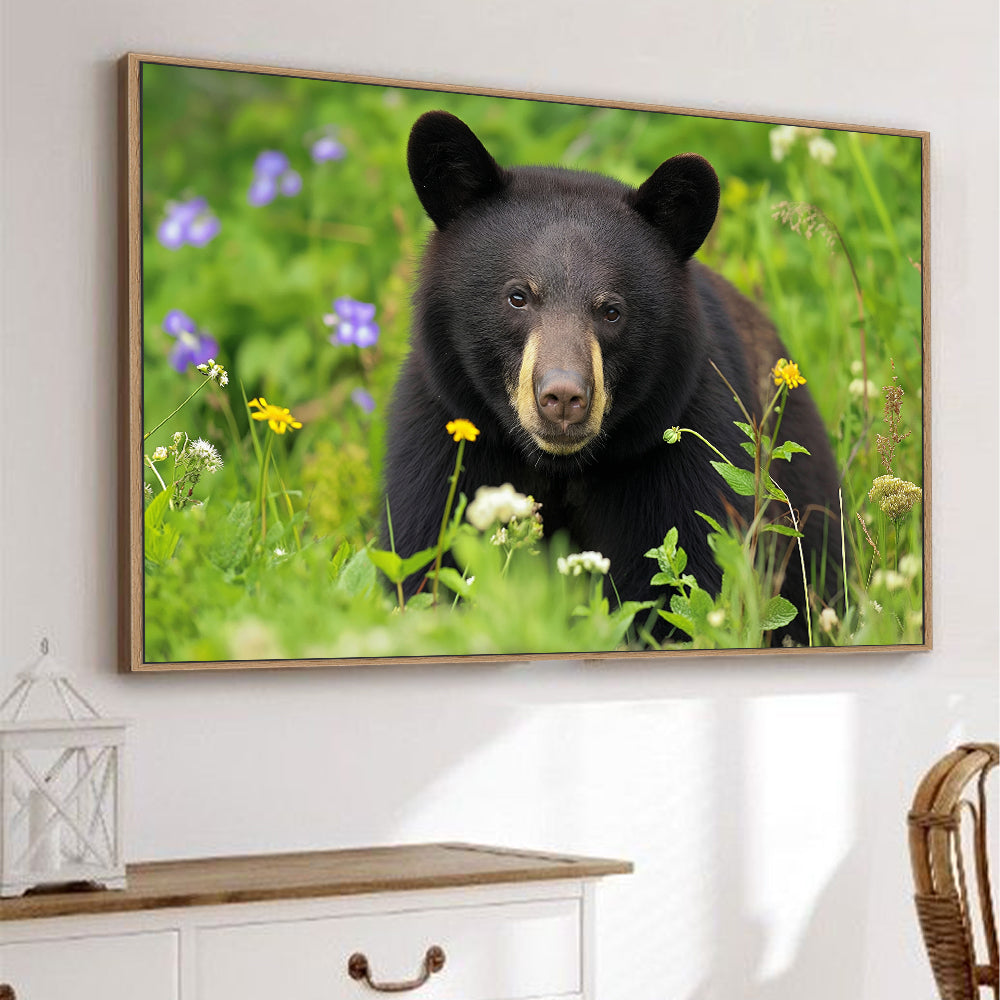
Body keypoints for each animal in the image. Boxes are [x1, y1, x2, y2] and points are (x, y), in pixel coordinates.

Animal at [382, 109, 842, 646]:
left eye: (611, 310)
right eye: (518, 296)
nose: (563, 397)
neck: (560, 469)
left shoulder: (681, 458)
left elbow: (689, 585)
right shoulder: (443, 443)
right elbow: (424, 561)